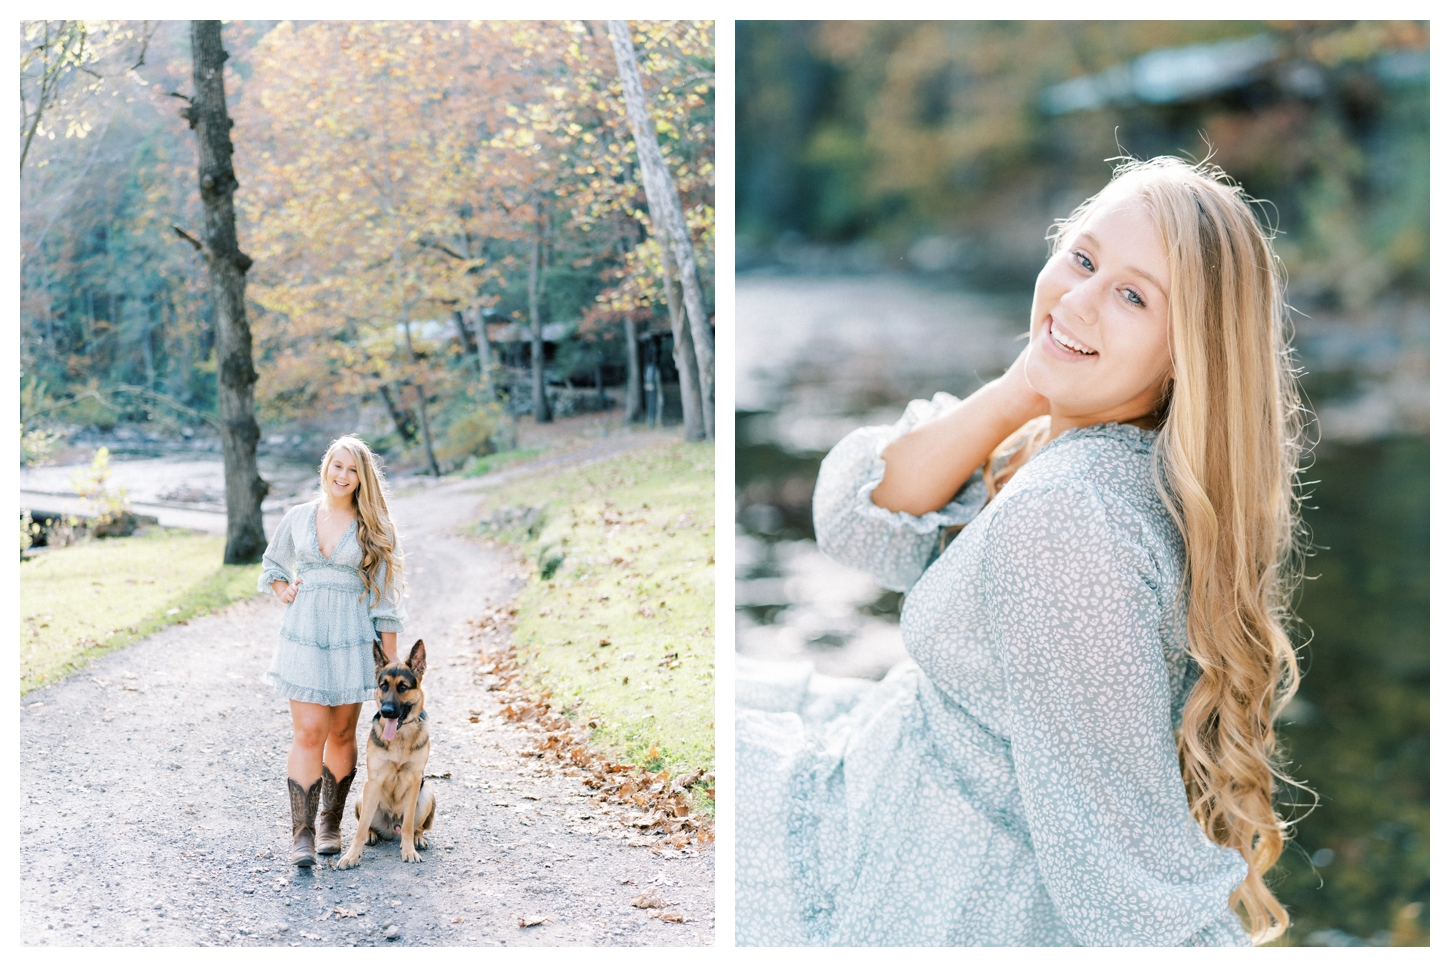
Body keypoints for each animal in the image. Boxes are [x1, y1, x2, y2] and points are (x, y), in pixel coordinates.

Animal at [333, 643, 435, 869]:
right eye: (383, 686)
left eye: (403, 687)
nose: (387, 711)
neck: (400, 736)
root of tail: (391, 827)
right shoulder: (375, 781)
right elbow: (360, 827)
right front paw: (351, 856)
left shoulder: (415, 781)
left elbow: (408, 824)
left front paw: (409, 850)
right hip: (363, 795)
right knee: (368, 824)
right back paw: (372, 834)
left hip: (427, 794)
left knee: (415, 827)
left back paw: (417, 838)